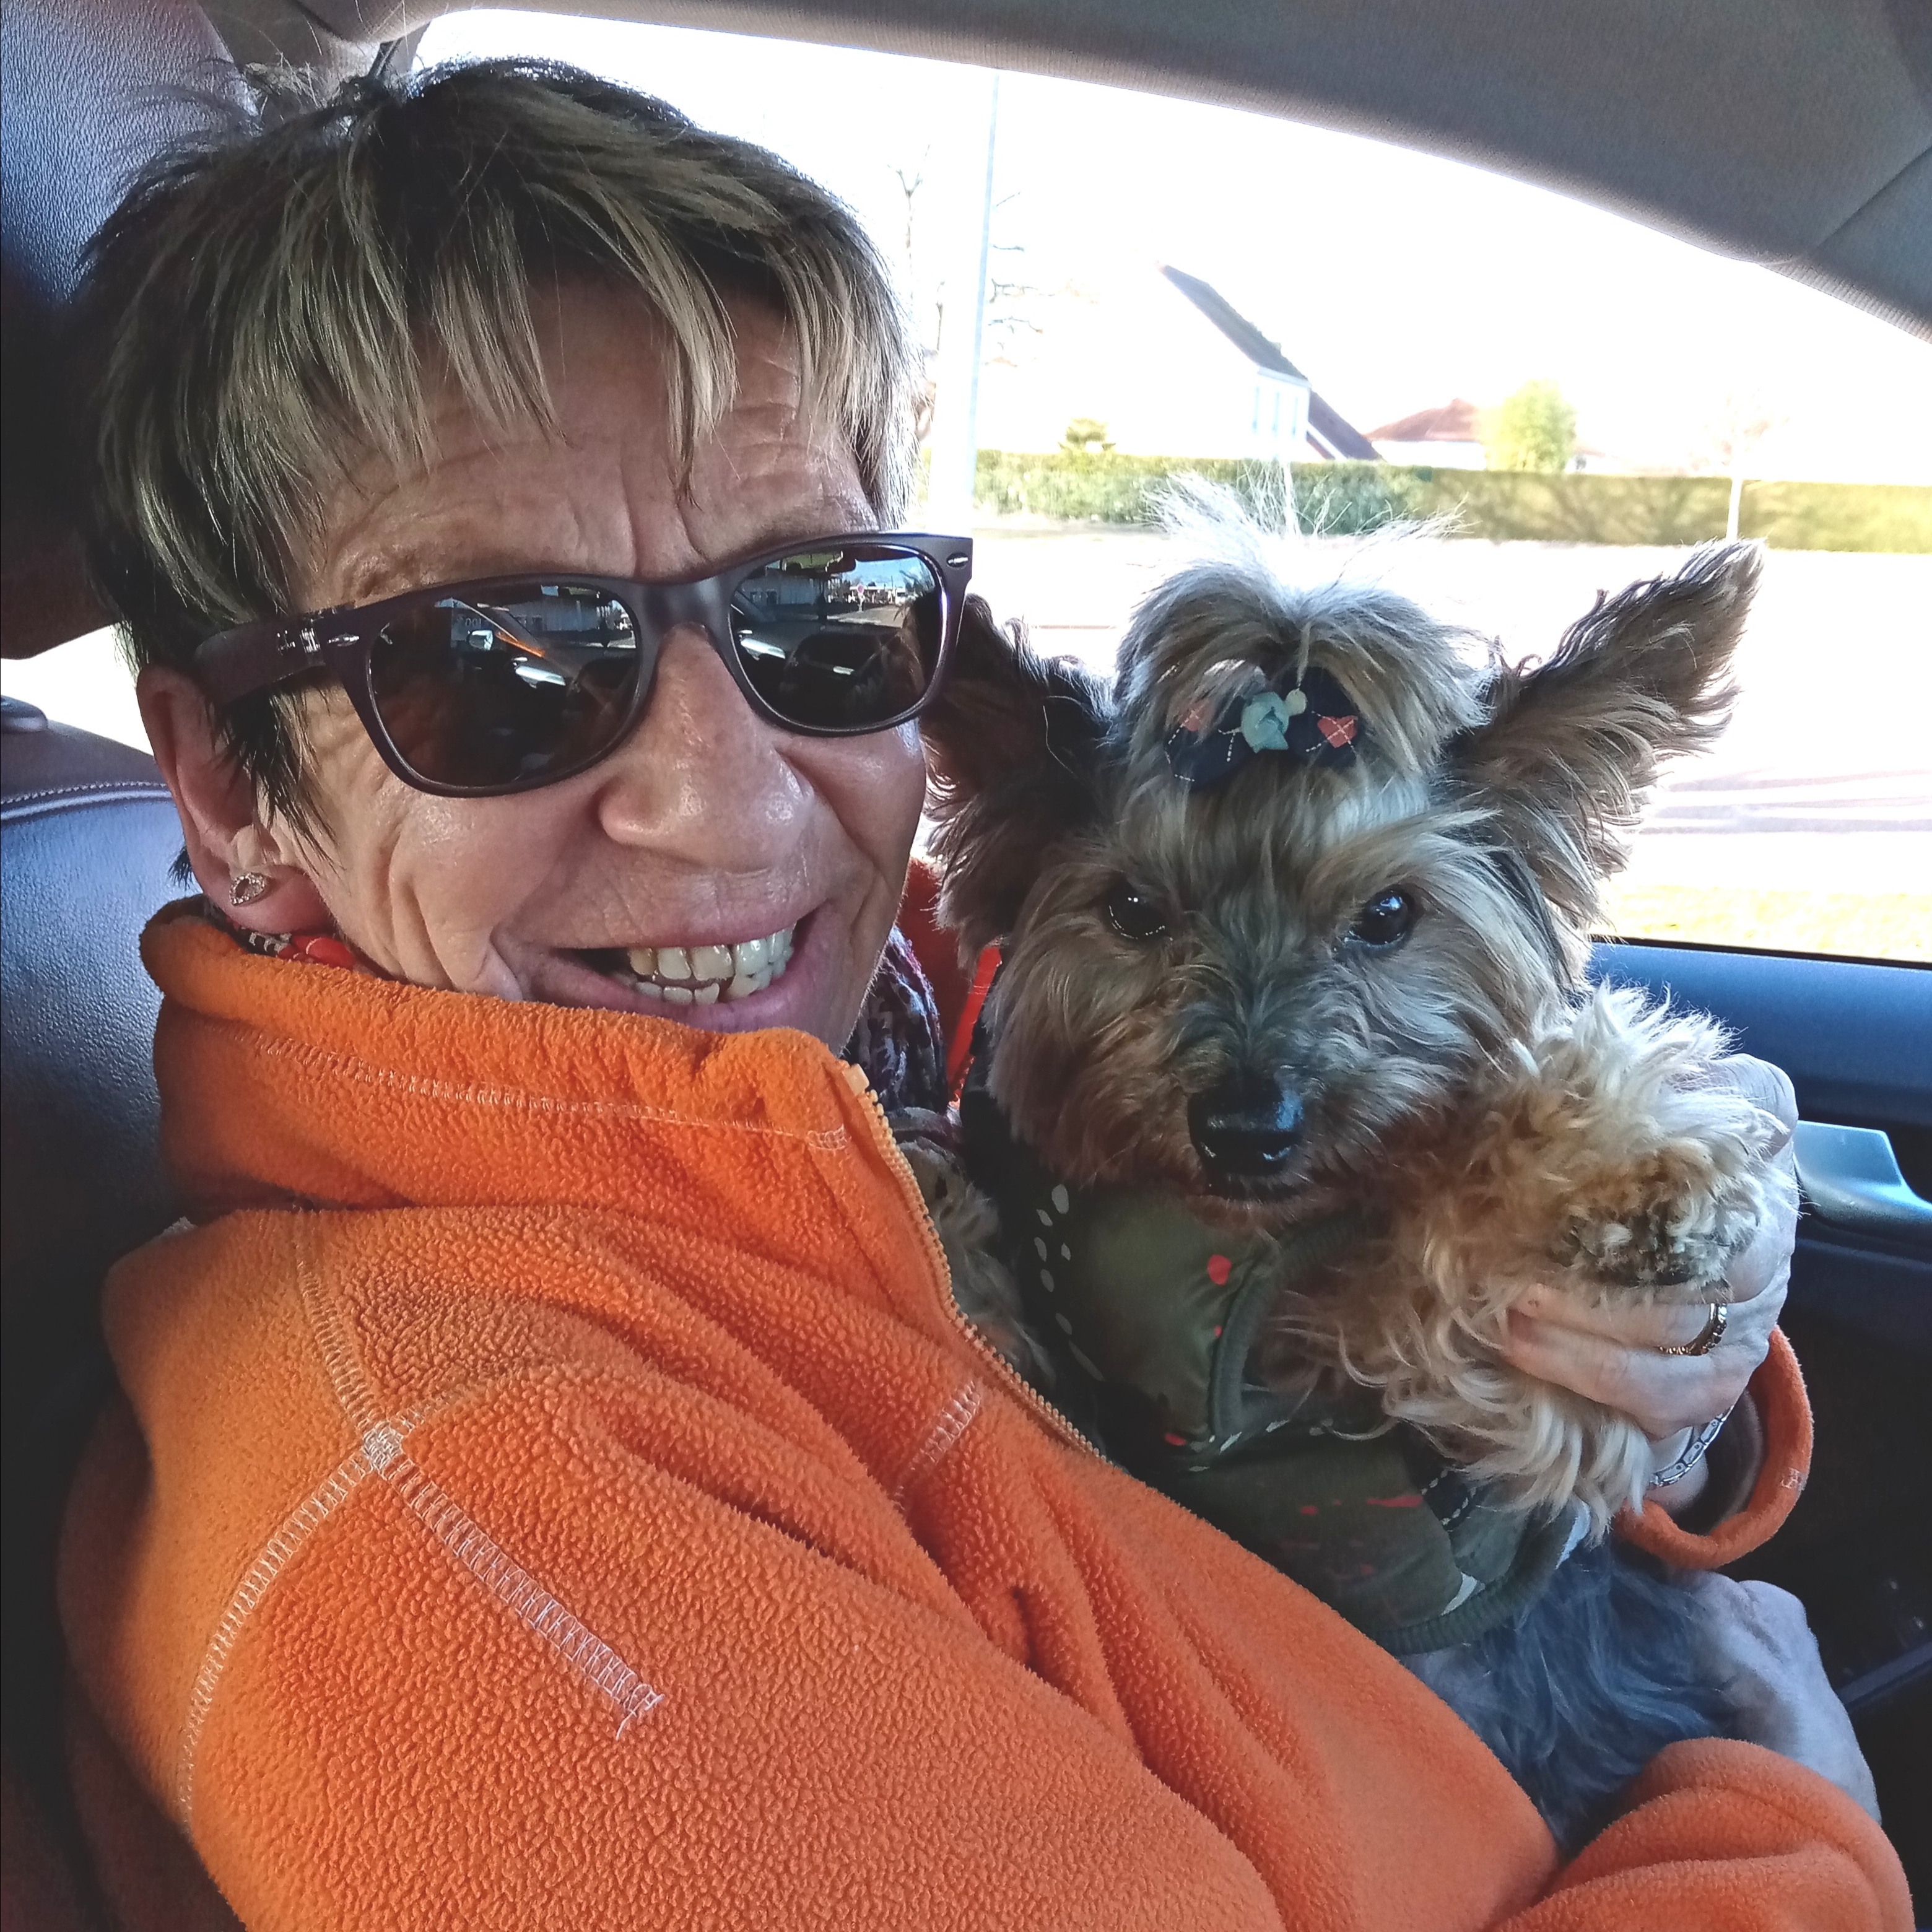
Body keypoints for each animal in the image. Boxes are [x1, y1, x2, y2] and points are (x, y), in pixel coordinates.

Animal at [905, 527, 1794, 1845]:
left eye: (1389, 915)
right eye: (1134, 909)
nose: (1247, 1129)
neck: (1235, 1245)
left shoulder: (1497, 1409)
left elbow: (1432, 1284)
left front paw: (1627, 1164)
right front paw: (934, 1198)